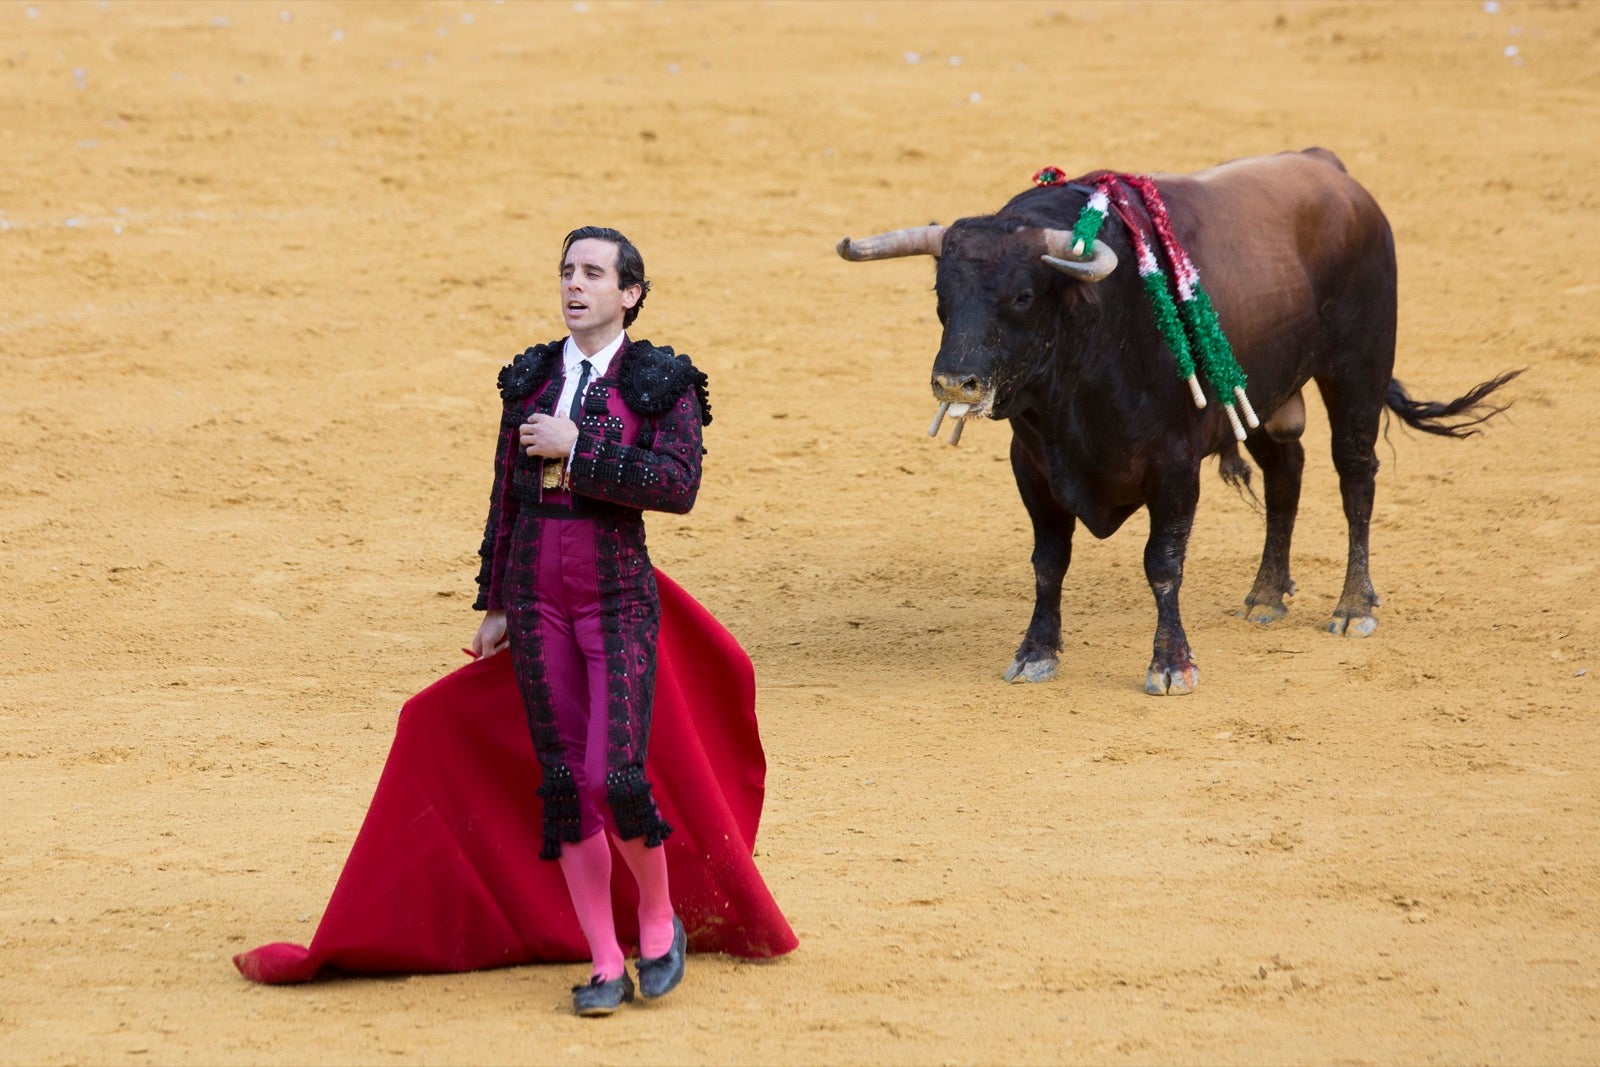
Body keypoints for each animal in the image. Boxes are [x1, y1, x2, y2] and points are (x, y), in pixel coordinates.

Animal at [844, 151, 1516, 700]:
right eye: (941, 296)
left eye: (1024, 295)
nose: (955, 382)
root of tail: (1332, 171)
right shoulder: (1032, 465)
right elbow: (1048, 560)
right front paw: (1035, 653)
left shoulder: (1173, 465)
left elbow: (1163, 564)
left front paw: (1172, 665)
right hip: (1261, 395)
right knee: (1286, 475)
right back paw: (1266, 595)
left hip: (1357, 370)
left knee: (1356, 475)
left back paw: (1353, 606)